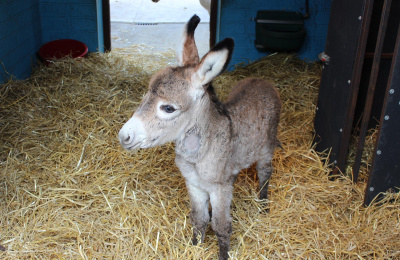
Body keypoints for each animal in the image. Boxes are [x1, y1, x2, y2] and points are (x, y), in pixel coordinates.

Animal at [119, 15, 282, 258]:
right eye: (145, 96)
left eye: (168, 108)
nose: (124, 136)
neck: (198, 153)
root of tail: (263, 81)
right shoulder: (194, 185)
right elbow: (199, 218)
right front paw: (194, 246)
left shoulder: (219, 189)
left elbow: (221, 226)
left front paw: (223, 255)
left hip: (266, 149)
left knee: (264, 173)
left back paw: (263, 205)